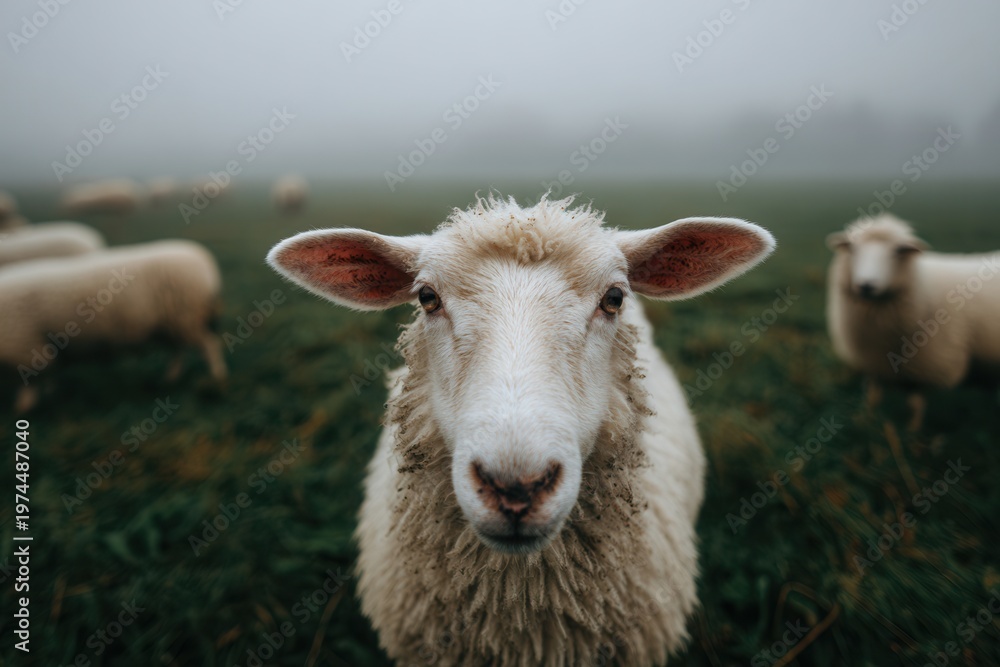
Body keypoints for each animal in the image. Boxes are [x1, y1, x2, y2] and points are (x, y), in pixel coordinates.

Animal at [0, 239, 227, 412]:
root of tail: (203, 260)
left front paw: (23, 407)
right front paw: (47, 393)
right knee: (177, 350)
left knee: (210, 345)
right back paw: (170, 378)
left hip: (186, 317)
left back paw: (216, 376)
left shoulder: (24, 348)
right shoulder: (39, 347)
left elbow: (28, 383)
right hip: (172, 323)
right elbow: (46, 374)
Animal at [826, 213, 1000, 427]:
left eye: (897, 252)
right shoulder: (873, 360)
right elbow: (873, 395)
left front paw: (912, 431)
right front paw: (868, 420)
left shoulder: (925, 365)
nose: (867, 285)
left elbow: (916, 404)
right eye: (853, 249)